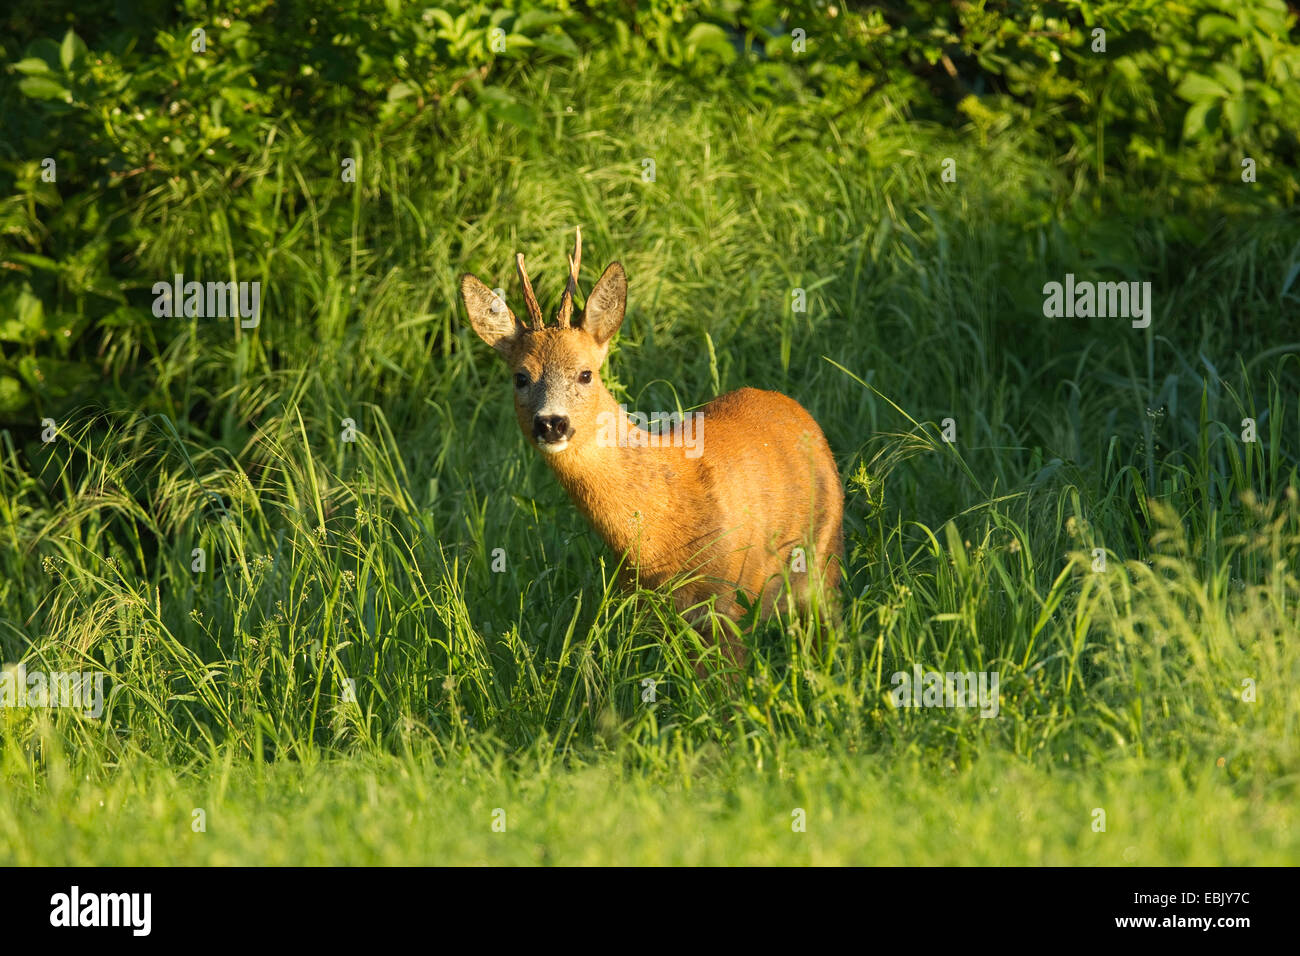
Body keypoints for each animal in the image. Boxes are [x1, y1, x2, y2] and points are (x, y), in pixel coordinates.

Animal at [460, 231, 842, 665]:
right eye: (521, 377)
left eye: (585, 373)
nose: (551, 423)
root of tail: (794, 408)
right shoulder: (648, 609)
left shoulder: (728, 602)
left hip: (824, 557)